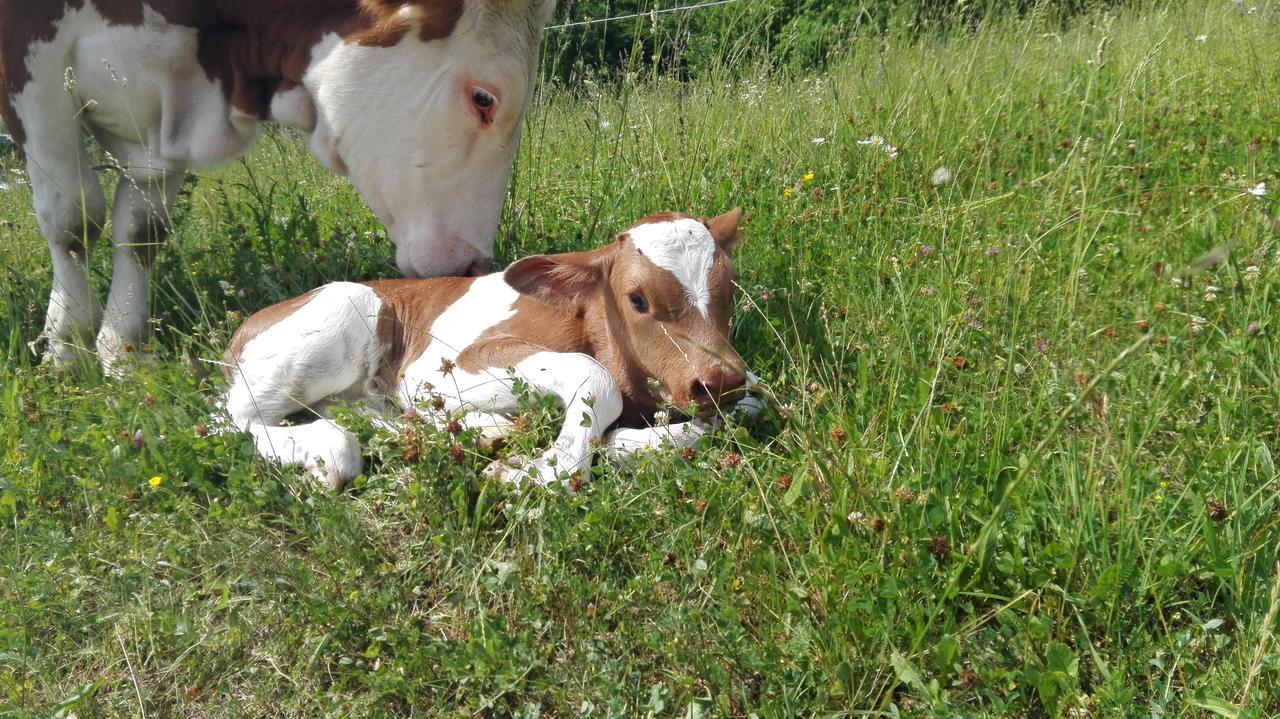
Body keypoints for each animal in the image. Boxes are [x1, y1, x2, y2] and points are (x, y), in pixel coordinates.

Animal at [1, 0, 560, 368]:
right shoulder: (31, 59)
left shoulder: (160, 122)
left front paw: (122, 354)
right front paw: (68, 350)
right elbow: (73, 219)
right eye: (485, 99)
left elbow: (142, 232)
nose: (472, 267)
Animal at [224, 208, 752, 486]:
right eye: (637, 298)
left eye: (730, 286)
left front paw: (626, 443)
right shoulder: (433, 371)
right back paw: (331, 451)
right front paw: (540, 470)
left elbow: (749, 407)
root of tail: (243, 328)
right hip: (345, 308)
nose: (719, 378)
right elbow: (593, 376)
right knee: (239, 420)